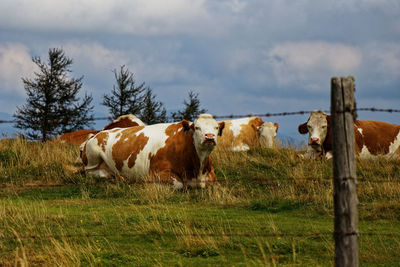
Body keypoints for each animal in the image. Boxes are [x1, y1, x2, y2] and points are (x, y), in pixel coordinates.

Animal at [80, 114, 225, 188]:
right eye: (197, 127)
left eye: (216, 127)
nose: (209, 137)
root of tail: (97, 134)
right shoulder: (155, 173)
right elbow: (179, 184)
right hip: (92, 158)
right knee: (93, 173)